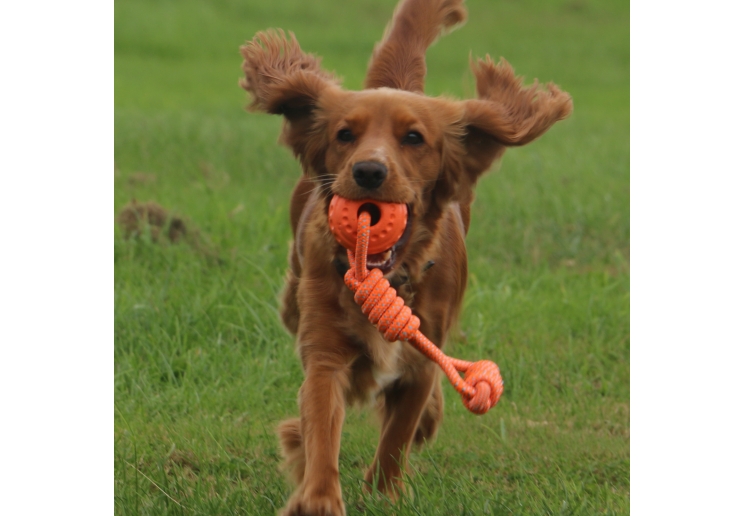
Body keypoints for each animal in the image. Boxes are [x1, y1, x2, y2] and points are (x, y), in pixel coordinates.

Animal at [241, 1, 572, 512]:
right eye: (344, 134)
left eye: (414, 138)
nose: (368, 171)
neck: (390, 276)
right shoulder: (325, 351)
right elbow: (321, 425)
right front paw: (318, 497)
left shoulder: (420, 359)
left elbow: (398, 432)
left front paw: (384, 491)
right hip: (297, 290)